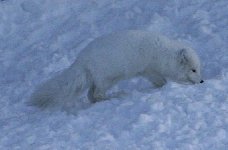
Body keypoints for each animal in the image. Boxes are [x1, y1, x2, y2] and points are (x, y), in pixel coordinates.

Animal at [29, 29, 203, 107]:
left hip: (100, 80)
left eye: (198, 69)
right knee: (96, 95)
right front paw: (163, 87)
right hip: (107, 79)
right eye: (193, 70)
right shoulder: (148, 69)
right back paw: (114, 98)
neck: (162, 53)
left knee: (90, 95)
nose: (202, 82)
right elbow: (160, 81)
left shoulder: (147, 71)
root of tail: (81, 60)